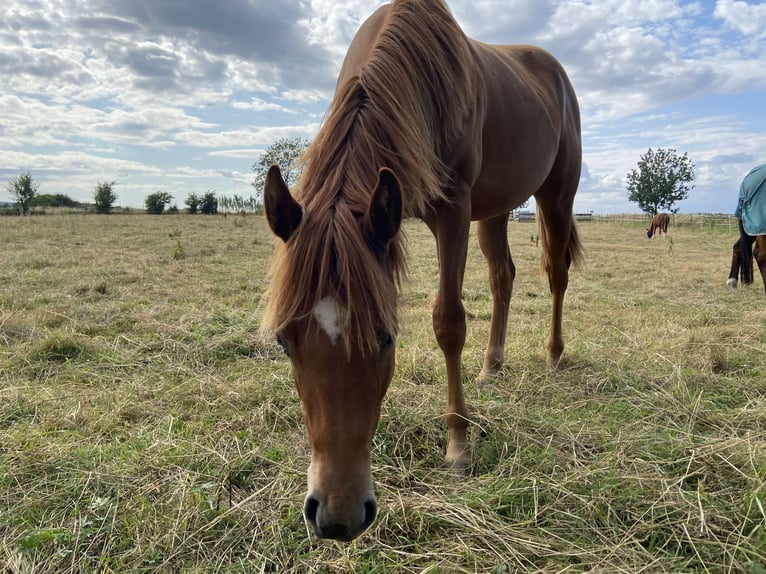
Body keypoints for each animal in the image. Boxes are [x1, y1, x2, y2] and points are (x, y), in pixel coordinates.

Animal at [262, 0, 582, 541]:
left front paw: (458, 446)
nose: (337, 517)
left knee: (555, 272)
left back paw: (554, 354)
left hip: (555, 195)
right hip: (496, 207)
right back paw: (491, 366)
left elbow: (448, 322)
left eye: (387, 338)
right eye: (285, 341)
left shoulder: (453, 211)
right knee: (503, 277)